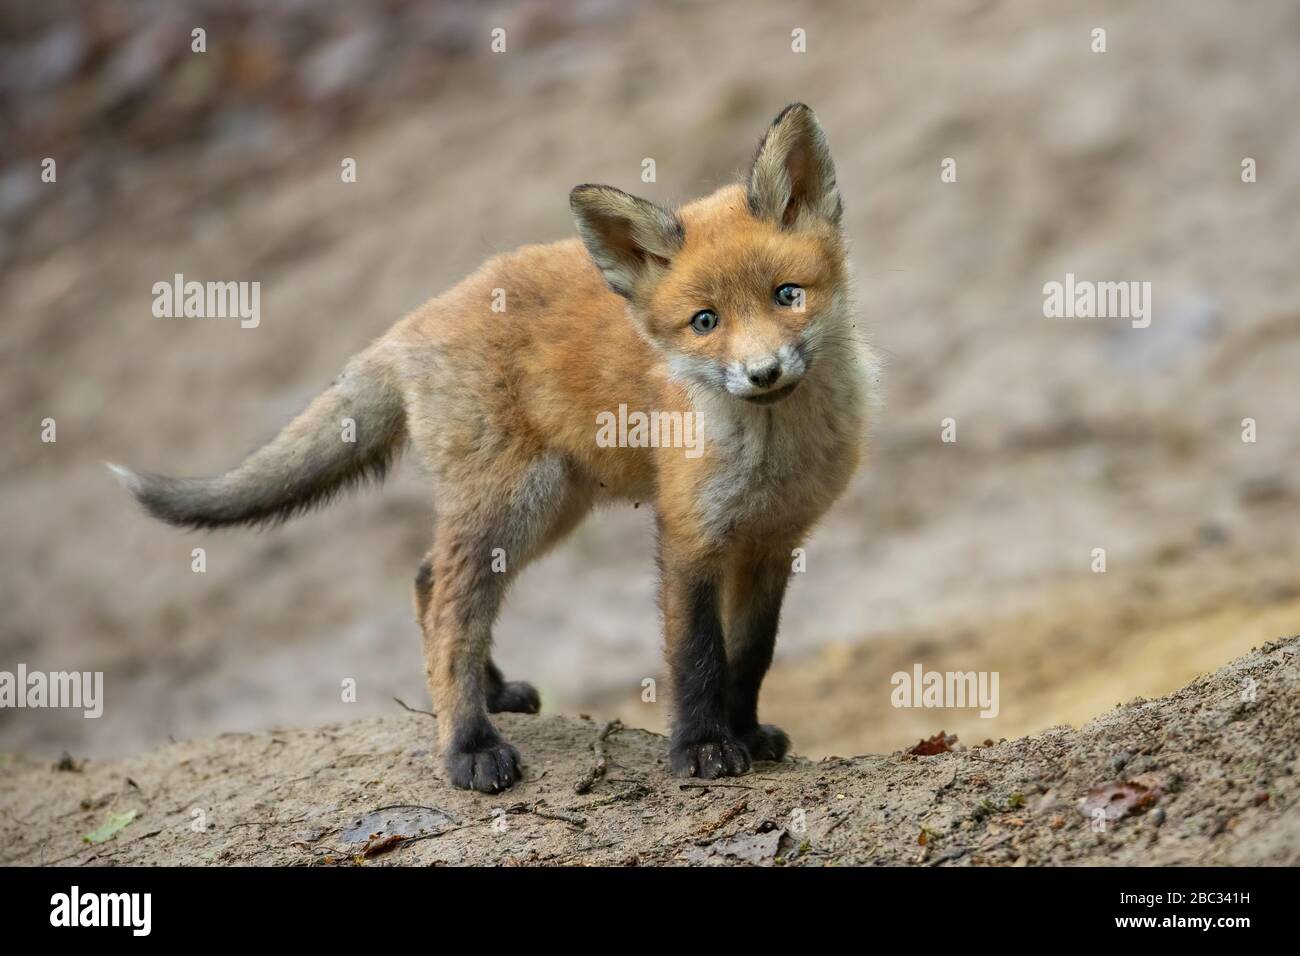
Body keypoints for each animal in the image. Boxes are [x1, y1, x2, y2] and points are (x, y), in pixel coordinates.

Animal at [110, 104, 876, 793]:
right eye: (705, 322)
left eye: (788, 295)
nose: (763, 373)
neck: (774, 453)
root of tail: (410, 324)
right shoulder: (691, 533)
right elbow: (698, 656)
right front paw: (702, 747)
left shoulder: (773, 541)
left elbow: (752, 654)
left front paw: (746, 731)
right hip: (518, 500)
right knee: (452, 605)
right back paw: (469, 745)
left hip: (549, 507)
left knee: (428, 580)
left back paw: (491, 693)